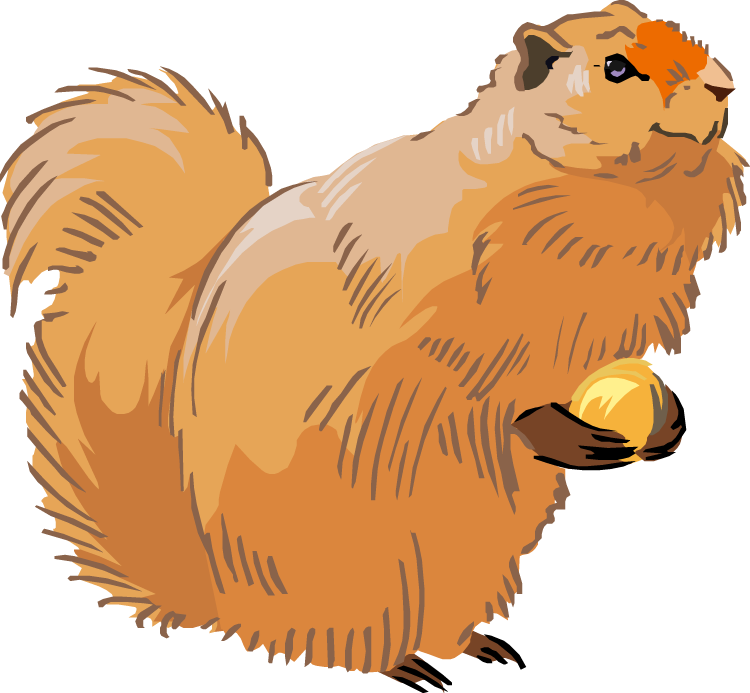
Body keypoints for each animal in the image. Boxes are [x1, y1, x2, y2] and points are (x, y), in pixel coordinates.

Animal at [2, 0, 745, 680]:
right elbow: (469, 389)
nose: (723, 85)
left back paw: (472, 650)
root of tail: (218, 599)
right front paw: (556, 428)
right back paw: (404, 666)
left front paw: (664, 421)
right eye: (616, 67)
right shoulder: (439, 332)